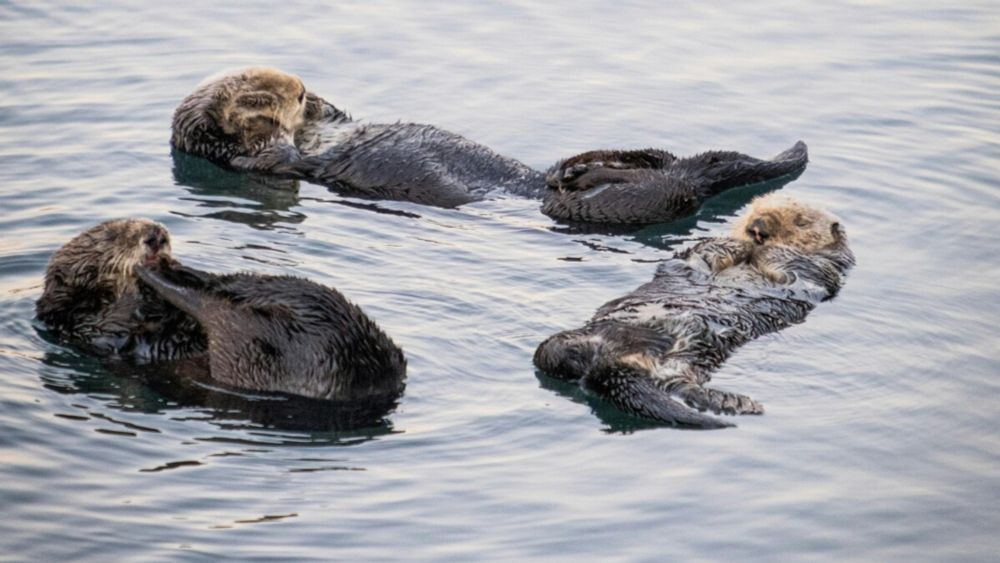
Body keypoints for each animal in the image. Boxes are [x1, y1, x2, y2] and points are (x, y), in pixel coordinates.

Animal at [38, 218, 406, 404]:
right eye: (115, 233)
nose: (156, 235)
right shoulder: (90, 325)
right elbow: (121, 319)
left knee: (235, 286)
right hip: (255, 350)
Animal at [536, 193, 856, 428]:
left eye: (801, 222)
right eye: (756, 209)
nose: (759, 226)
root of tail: (605, 361)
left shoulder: (816, 274)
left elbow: (792, 264)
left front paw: (770, 248)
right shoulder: (694, 256)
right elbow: (700, 254)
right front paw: (734, 243)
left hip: (688, 356)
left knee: (678, 387)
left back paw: (737, 403)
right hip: (573, 342)